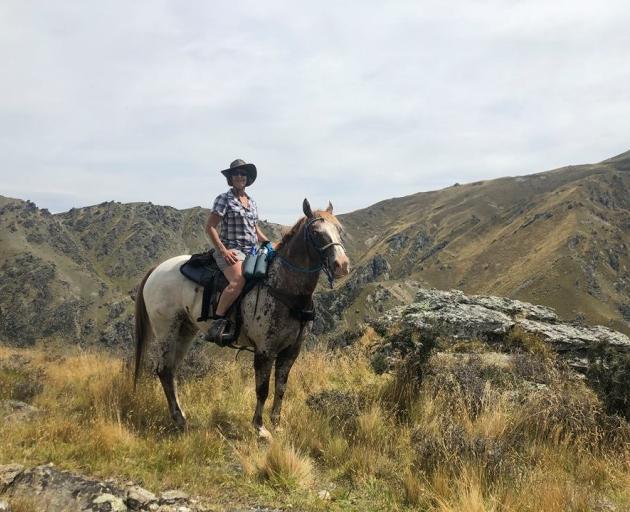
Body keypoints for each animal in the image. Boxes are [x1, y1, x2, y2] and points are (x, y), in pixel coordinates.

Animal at [135, 198, 350, 438]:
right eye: (315, 232)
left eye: (339, 229)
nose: (342, 265)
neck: (283, 286)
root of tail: (157, 269)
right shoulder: (265, 350)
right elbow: (263, 389)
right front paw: (260, 428)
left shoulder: (291, 351)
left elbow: (281, 387)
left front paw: (277, 424)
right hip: (166, 331)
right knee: (163, 370)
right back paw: (179, 420)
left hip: (185, 330)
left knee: (171, 370)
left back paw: (181, 416)